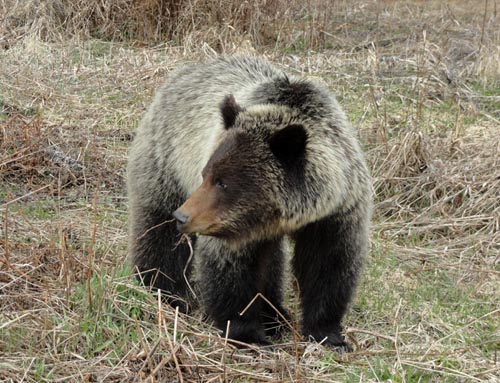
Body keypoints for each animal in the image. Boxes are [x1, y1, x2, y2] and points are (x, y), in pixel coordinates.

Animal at [129, 54, 372, 352]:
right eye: (206, 174)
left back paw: (275, 314)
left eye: (222, 182)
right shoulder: (230, 225)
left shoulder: (337, 213)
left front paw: (328, 335)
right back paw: (162, 290)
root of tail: (183, 72)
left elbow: (328, 266)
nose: (183, 216)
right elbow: (232, 270)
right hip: (166, 163)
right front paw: (248, 334)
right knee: (158, 231)